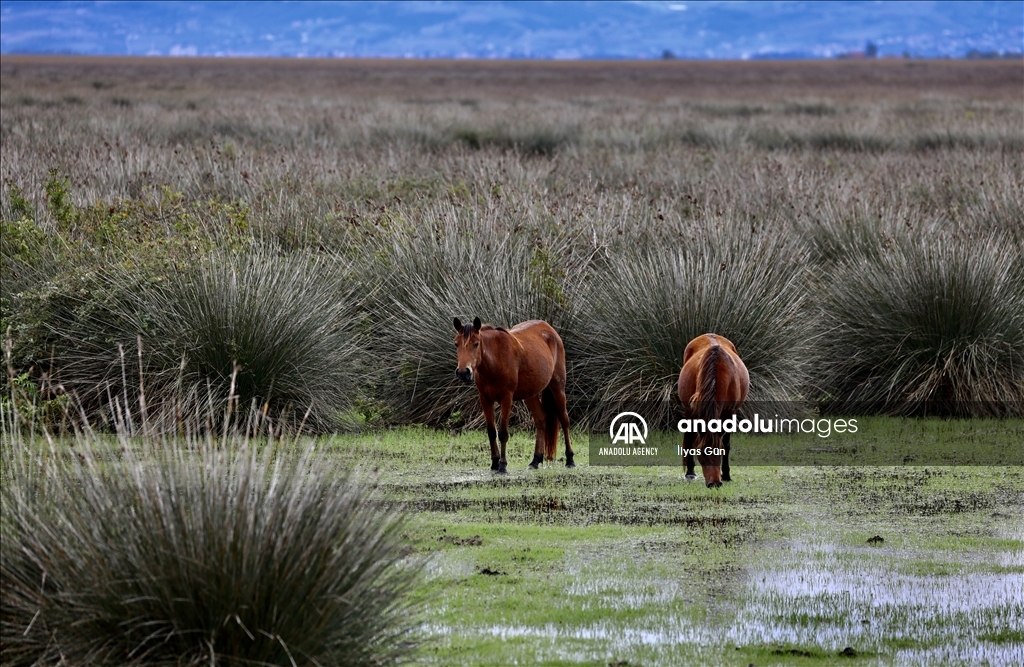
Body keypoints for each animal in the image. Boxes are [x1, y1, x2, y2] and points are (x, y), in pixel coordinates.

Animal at [456, 317, 577, 475]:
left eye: (476, 343)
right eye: (456, 344)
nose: (463, 372)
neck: (495, 359)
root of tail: (550, 329)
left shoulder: (506, 399)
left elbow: (502, 433)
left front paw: (502, 466)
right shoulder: (485, 399)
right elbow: (491, 432)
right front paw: (494, 463)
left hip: (558, 387)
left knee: (564, 420)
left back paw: (570, 460)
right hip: (530, 394)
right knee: (541, 420)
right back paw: (535, 460)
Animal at [675, 336, 749, 487]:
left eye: (718, 453)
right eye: (701, 454)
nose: (714, 484)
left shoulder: (729, 413)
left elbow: (726, 444)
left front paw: (726, 474)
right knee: (690, 436)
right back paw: (690, 472)